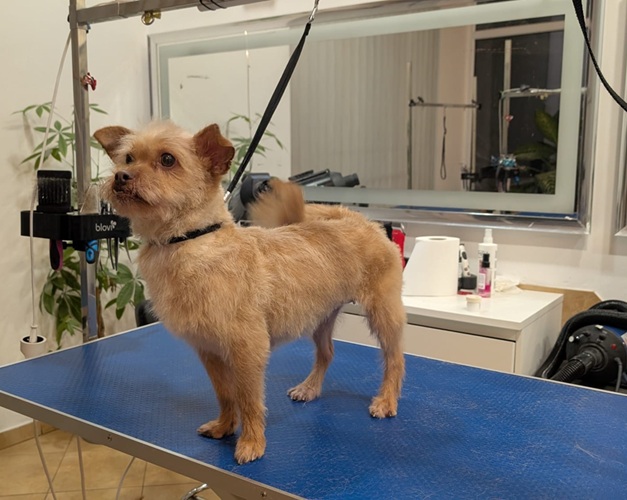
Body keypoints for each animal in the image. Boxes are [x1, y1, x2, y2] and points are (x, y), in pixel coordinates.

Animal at [94, 121, 406, 464]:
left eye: (167, 160)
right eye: (127, 158)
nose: (121, 176)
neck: (190, 241)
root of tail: (359, 219)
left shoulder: (248, 351)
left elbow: (249, 399)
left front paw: (252, 442)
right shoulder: (210, 351)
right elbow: (225, 395)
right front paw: (225, 426)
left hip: (383, 313)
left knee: (395, 359)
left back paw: (386, 400)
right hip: (322, 317)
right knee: (327, 352)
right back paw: (309, 388)